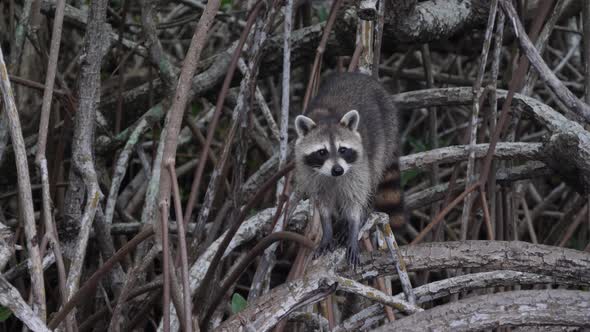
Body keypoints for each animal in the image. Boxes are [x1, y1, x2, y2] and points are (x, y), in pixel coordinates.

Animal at [294, 72, 404, 268]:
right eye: (322, 152)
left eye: (343, 150)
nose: (338, 170)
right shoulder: (310, 173)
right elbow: (323, 203)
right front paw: (327, 229)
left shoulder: (358, 168)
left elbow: (355, 201)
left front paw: (353, 227)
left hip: (386, 132)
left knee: (373, 176)